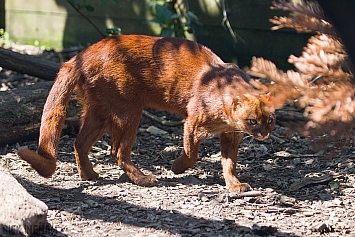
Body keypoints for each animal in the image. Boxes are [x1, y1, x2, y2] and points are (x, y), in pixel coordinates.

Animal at [17, 33, 276, 193]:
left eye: (270, 120)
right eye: (253, 121)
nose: (264, 133)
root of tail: (80, 55)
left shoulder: (231, 135)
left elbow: (229, 163)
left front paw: (234, 185)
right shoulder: (192, 123)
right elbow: (191, 154)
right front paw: (177, 167)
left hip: (100, 111)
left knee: (80, 142)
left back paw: (90, 175)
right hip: (129, 110)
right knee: (116, 151)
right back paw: (143, 179)